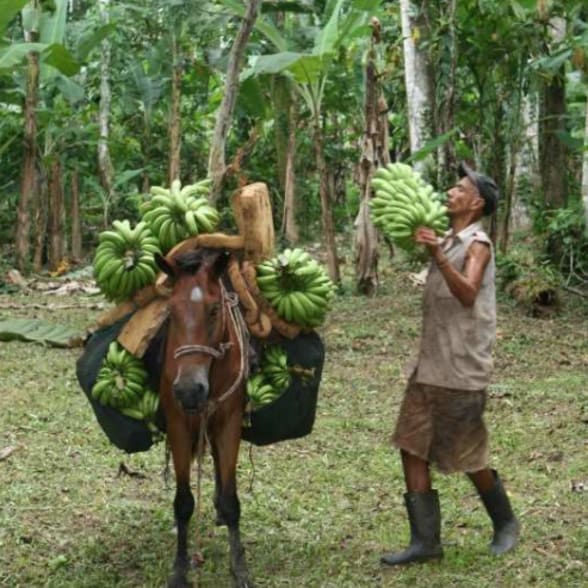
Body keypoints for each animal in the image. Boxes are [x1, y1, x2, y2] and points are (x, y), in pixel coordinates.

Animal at [154, 248, 253, 588]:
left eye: (213, 310)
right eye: (170, 311)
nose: (188, 390)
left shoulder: (230, 422)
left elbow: (232, 499)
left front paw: (239, 568)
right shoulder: (178, 425)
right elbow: (183, 503)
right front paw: (179, 570)